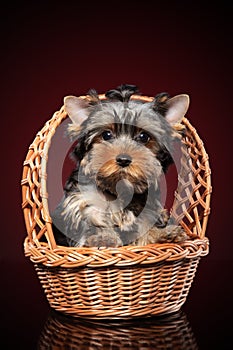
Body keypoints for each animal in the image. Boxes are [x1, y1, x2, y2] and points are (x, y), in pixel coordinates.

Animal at [52, 85, 190, 247]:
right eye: (106, 135)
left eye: (143, 137)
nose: (124, 159)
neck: (119, 189)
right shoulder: (82, 202)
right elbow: (94, 220)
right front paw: (103, 238)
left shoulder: (147, 210)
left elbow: (145, 228)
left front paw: (163, 234)